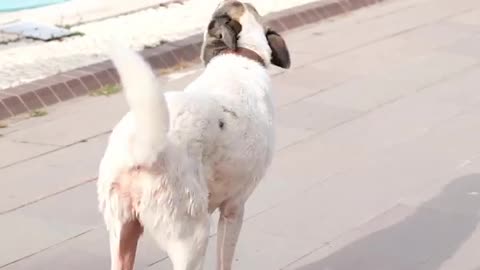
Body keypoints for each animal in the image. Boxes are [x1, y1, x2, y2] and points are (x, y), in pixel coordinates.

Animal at [94, 1, 288, 268]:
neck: (240, 55)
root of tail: (142, 150)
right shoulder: (234, 208)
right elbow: (224, 261)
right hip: (192, 236)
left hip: (122, 231)